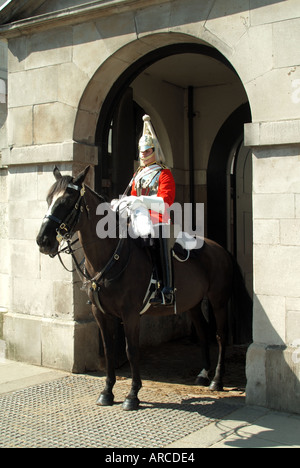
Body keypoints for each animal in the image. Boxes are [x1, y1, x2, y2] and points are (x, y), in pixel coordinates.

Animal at [36, 166, 251, 412]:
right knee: (203, 331)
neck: (110, 255)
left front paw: (132, 395)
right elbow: (109, 350)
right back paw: (203, 374)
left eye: (67, 200)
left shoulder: (130, 314)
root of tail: (221, 250)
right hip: (193, 303)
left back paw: (217, 379)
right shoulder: (100, 313)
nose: (43, 240)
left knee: (220, 335)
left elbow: (132, 350)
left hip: (218, 301)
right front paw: (107, 392)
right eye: (49, 199)